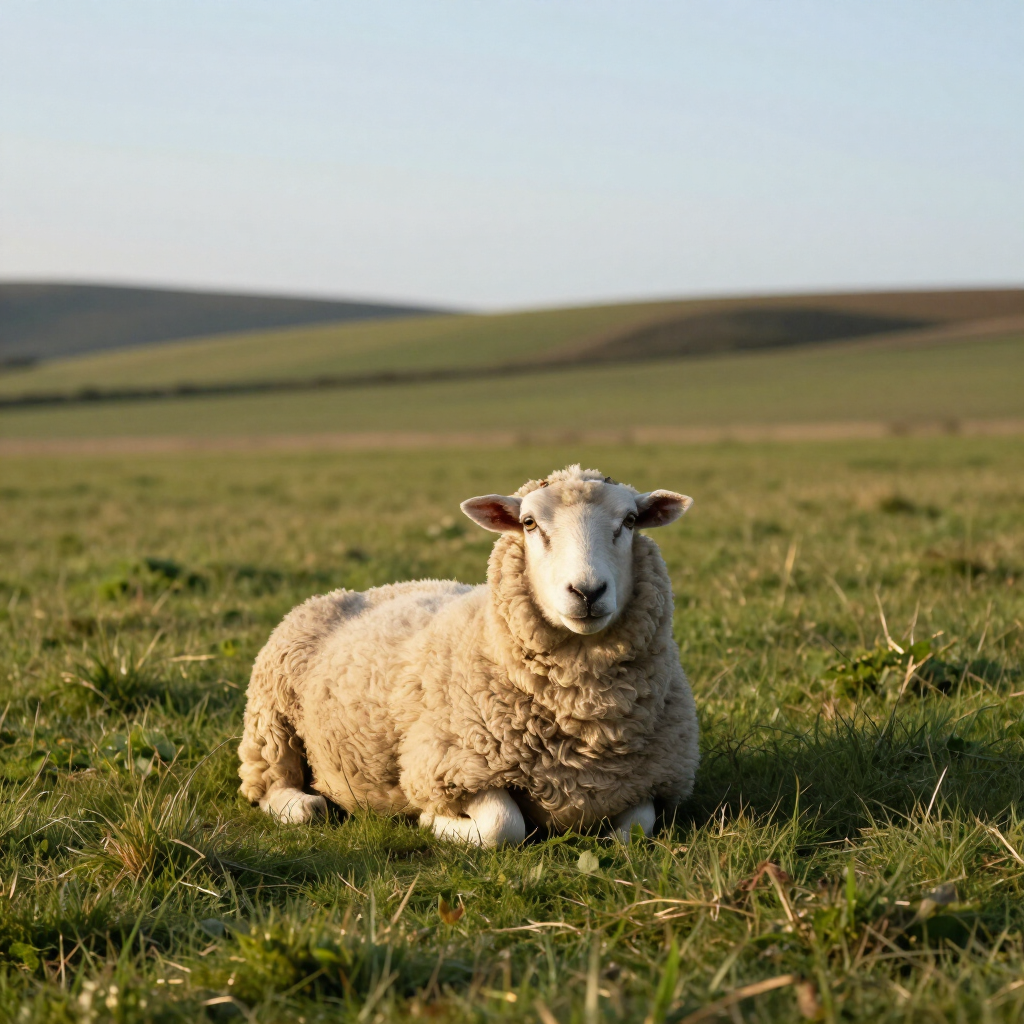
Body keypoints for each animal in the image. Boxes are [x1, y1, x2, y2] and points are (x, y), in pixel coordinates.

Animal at [237, 465, 699, 846]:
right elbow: (502, 827)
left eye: (630, 521)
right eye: (529, 523)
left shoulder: (653, 779)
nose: (587, 591)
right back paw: (303, 805)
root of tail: (360, 590)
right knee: (271, 782)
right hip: (271, 716)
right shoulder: (451, 764)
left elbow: (634, 832)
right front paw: (433, 821)